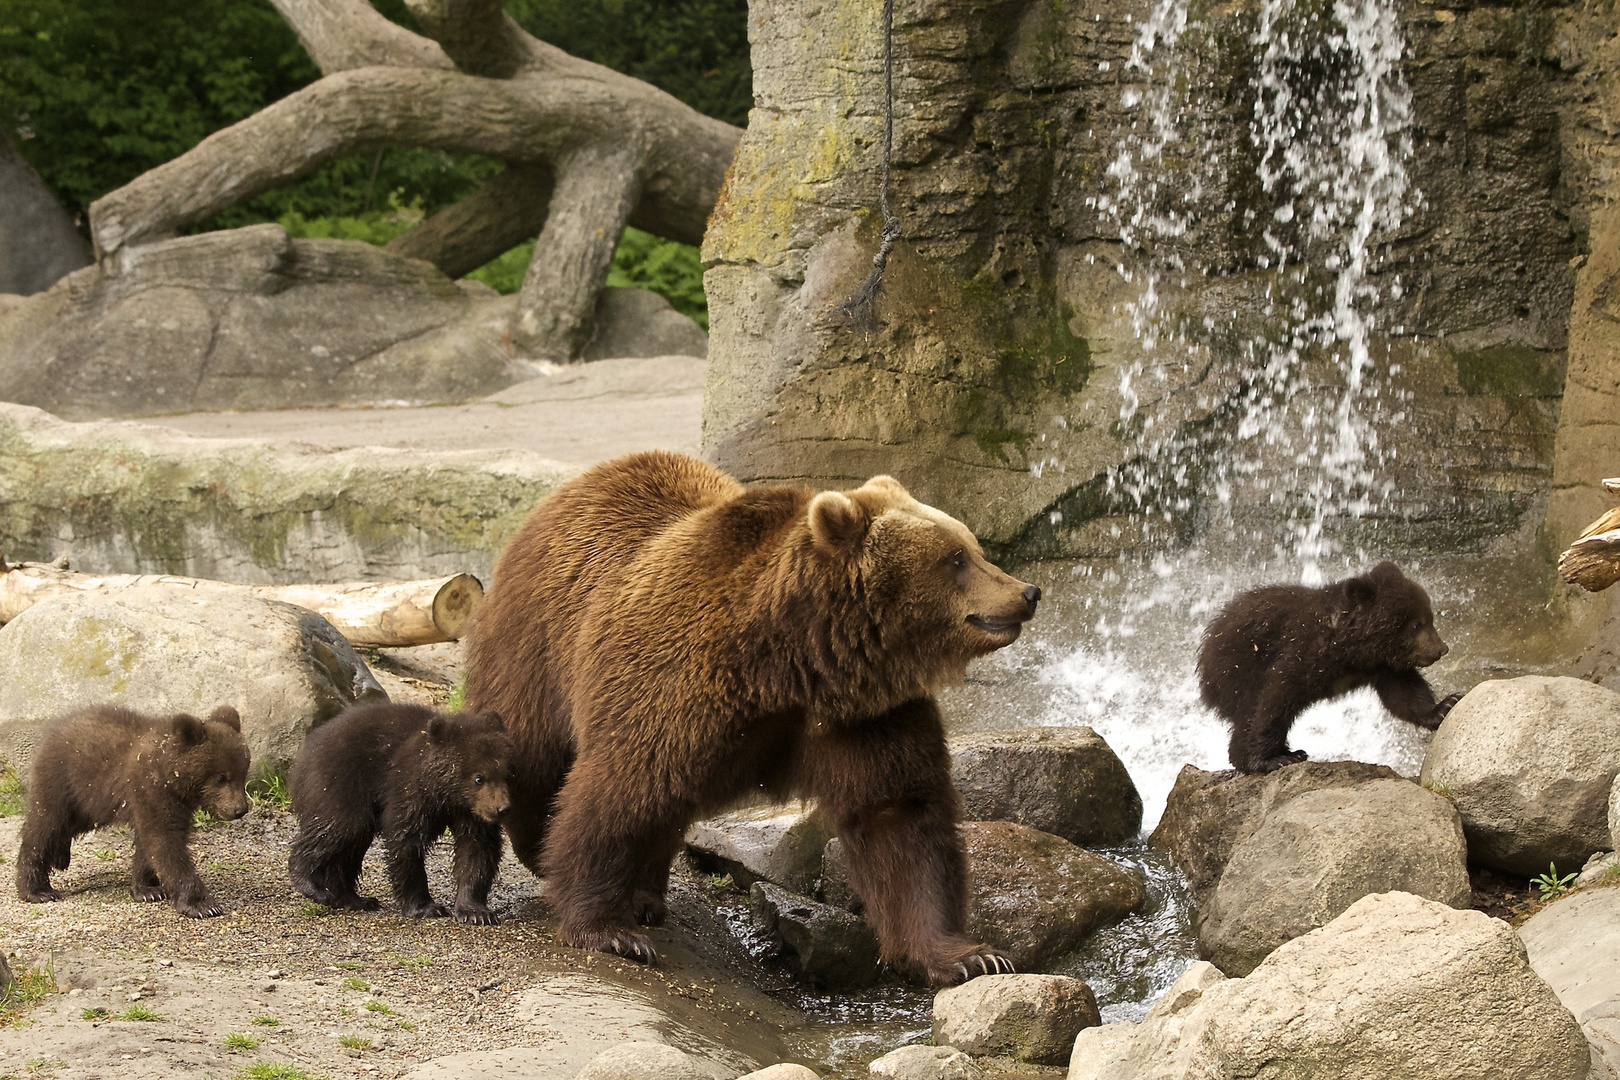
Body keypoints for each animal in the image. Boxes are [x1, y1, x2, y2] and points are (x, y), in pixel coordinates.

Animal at [469, 453, 1036, 984]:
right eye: (956, 557)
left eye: (971, 546)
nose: (1027, 592)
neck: (792, 662)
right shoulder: (674, 680)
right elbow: (622, 789)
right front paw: (607, 930)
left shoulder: (864, 714)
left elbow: (900, 816)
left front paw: (969, 956)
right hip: (538, 642)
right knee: (535, 755)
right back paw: (542, 847)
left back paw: (645, 895)